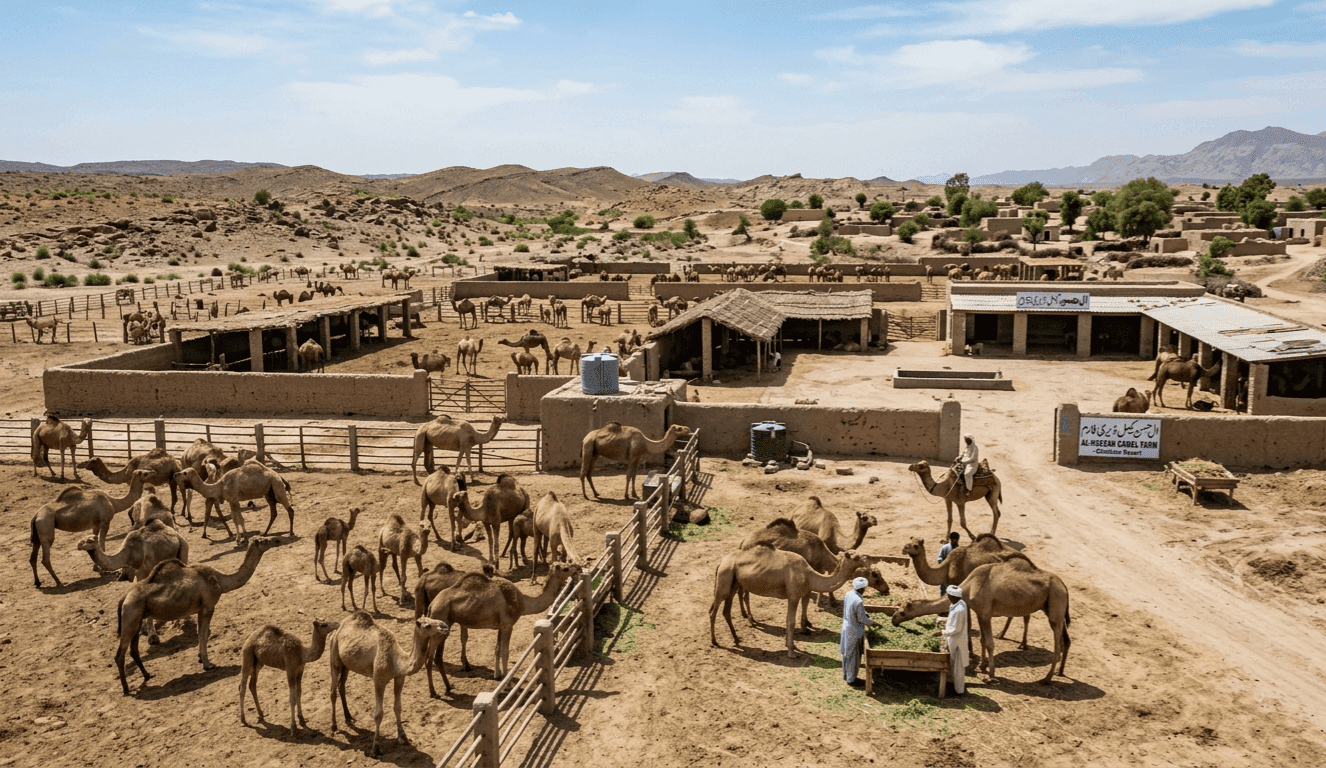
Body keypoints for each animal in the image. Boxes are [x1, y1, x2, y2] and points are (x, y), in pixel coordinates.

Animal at [116, 536, 281, 695]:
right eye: (264, 540)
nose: (277, 540)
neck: (220, 580)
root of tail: (124, 598)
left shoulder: (200, 609)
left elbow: (200, 633)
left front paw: (201, 659)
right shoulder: (208, 606)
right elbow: (204, 634)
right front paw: (208, 664)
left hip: (136, 618)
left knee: (134, 650)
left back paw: (148, 675)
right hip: (131, 615)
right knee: (120, 654)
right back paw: (126, 689)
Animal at [329, 612, 450, 756]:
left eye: (432, 619)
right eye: (428, 625)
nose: (445, 626)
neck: (396, 661)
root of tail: (338, 629)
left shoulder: (399, 678)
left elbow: (397, 707)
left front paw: (403, 737)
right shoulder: (379, 680)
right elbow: (378, 714)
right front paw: (375, 748)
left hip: (346, 664)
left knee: (342, 686)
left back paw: (349, 718)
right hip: (334, 654)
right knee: (333, 690)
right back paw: (334, 726)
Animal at [424, 562, 580, 694]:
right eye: (566, 568)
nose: (578, 567)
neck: (521, 602)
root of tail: (432, 605)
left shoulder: (500, 626)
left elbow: (497, 649)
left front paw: (497, 675)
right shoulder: (507, 625)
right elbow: (505, 652)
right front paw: (507, 683)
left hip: (444, 624)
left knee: (436, 657)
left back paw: (447, 687)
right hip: (440, 619)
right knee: (430, 658)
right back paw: (434, 692)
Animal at [710, 546, 871, 658]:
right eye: (856, 557)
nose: (868, 559)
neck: (808, 575)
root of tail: (721, 562)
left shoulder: (794, 595)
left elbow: (789, 619)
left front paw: (790, 645)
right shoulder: (793, 595)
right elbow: (790, 621)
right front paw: (792, 652)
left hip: (734, 582)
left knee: (726, 610)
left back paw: (737, 639)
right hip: (725, 576)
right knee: (713, 610)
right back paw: (715, 642)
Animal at [891, 555, 1071, 684]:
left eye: (902, 612)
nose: (893, 619)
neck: (969, 587)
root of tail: (1064, 586)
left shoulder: (985, 613)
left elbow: (990, 643)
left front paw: (991, 675)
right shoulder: (980, 613)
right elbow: (983, 640)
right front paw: (983, 666)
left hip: (1056, 603)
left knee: (1057, 644)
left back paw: (1046, 679)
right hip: (1053, 608)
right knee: (1064, 640)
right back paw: (1058, 672)